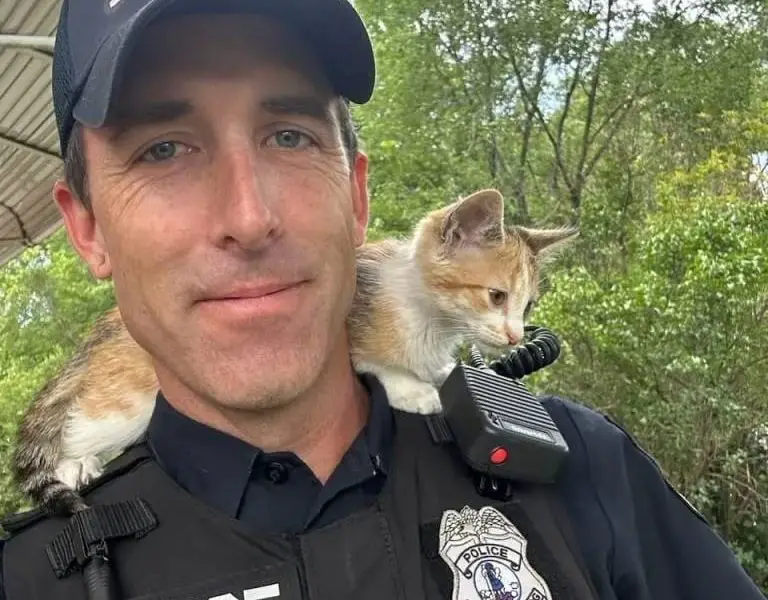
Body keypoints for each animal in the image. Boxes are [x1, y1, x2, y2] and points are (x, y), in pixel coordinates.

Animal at [13, 190, 576, 512]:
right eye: (496, 296)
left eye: (527, 304)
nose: (515, 338)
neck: (426, 314)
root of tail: (100, 333)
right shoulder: (335, 332)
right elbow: (377, 362)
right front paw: (416, 391)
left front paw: (445, 378)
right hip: (131, 399)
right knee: (80, 421)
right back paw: (73, 466)